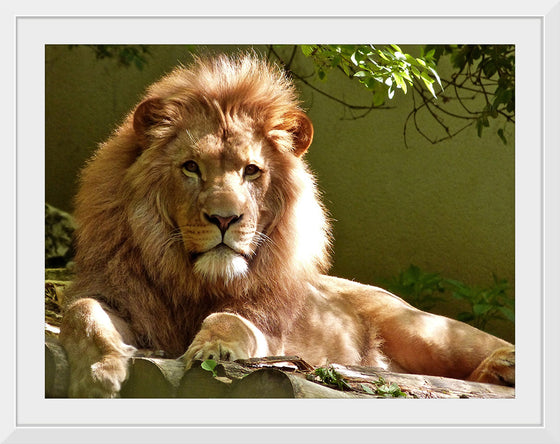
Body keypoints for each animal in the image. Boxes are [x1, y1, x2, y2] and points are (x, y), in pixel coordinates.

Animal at [59, 53, 516, 398]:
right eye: (191, 168)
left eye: (251, 170)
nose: (225, 218)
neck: (195, 281)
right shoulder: (122, 299)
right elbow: (82, 312)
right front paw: (99, 373)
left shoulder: (270, 332)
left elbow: (230, 320)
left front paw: (215, 349)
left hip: (424, 330)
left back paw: (503, 365)